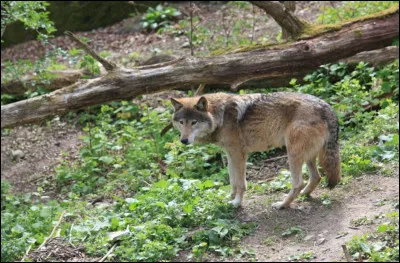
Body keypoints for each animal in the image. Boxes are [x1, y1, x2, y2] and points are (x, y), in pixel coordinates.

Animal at [170, 92, 342, 209]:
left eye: (194, 122)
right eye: (181, 122)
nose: (183, 140)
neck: (221, 116)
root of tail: (326, 106)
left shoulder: (239, 154)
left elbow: (241, 183)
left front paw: (237, 203)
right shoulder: (230, 154)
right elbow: (232, 180)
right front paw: (231, 198)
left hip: (292, 154)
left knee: (299, 183)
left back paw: (282, 204)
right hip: (307, 156)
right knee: (316, 177)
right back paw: (303, 195)